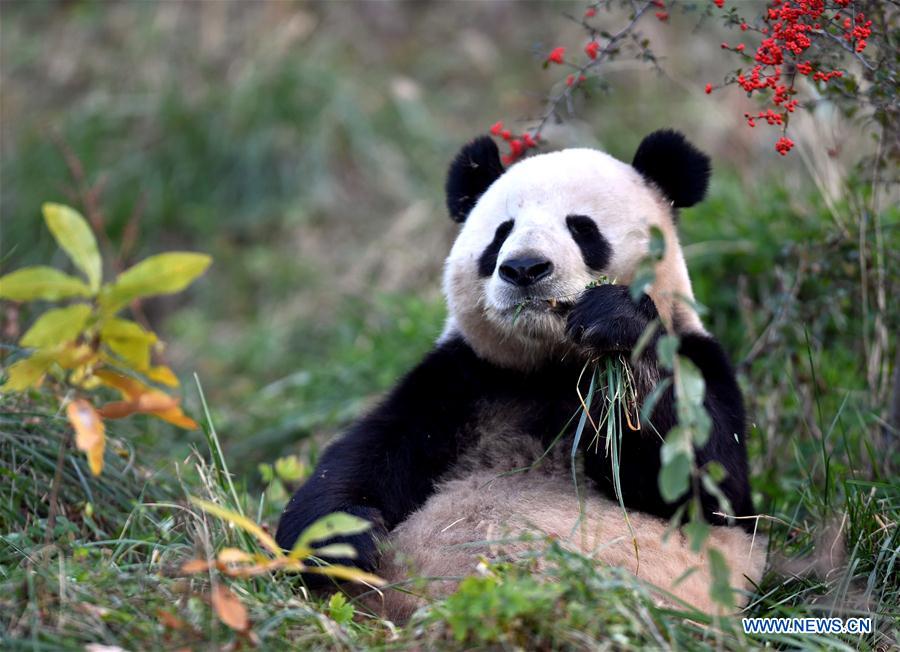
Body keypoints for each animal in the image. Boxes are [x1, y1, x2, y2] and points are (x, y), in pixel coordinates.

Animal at [276, 127, 768, 620]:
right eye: (501, 233)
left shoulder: (697, 359)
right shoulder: (466, 379)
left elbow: (708, 482)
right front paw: (337, 542)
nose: (524, 268)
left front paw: (616, 319)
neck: (552, 365)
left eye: (582, 227)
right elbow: (366, 454)